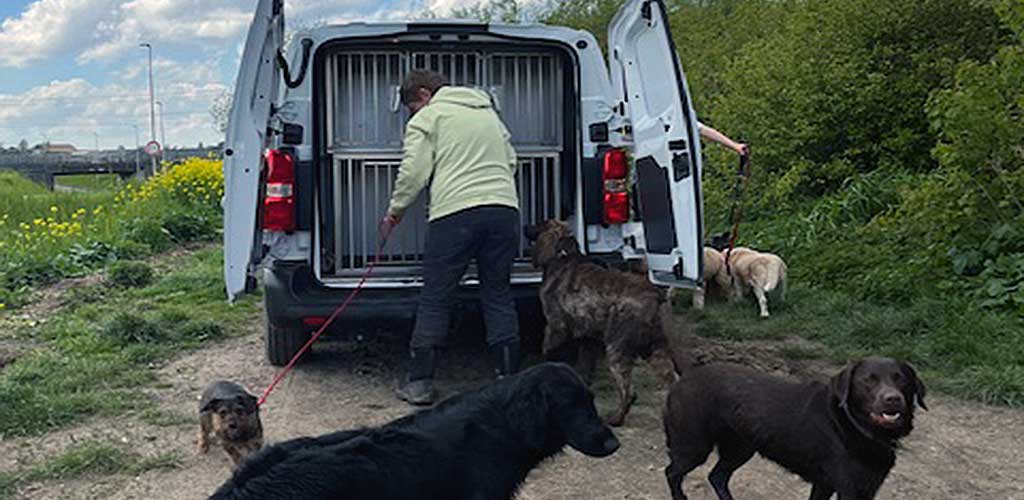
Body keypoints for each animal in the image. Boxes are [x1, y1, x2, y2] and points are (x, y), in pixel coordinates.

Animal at [524, 219, 684, 426]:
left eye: (539, 225)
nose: (525, 227)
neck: (561, 256)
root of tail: (655, 294)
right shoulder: (587, 338)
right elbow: (585, 369)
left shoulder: (555, 327)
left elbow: (549, 355)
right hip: (655, 349)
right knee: (671, 381)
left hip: (618, 349)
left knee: (629, 392)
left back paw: (616, 419)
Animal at [663, 356, 929, 500]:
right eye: (868, 380)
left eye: (901, 379)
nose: (892, 399)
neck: (855, 425)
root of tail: (685, 377)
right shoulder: (846, 488)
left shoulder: (848, 487)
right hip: (694, 446)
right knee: (672, 472)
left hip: (740, 449)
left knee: (716, 476)